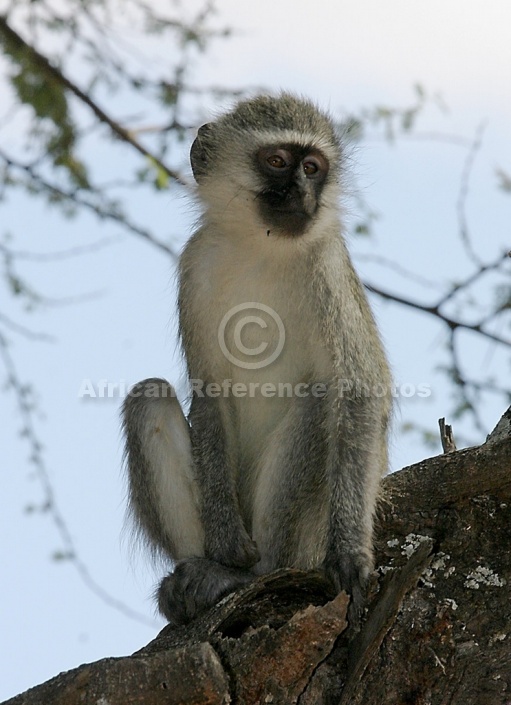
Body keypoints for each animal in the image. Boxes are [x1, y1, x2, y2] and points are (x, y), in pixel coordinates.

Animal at [123, 92, 392, 620]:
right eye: (277, 162)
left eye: (312, 168)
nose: (303, 195)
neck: (261, 246)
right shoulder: (195, 264)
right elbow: (209, 392)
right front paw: (227, 542)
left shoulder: (327, 266)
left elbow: (358, 388)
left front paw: (350, 552)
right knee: (149, 396)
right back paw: (206, 571)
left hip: (305, 540)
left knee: (320, 401)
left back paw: (254, 573)